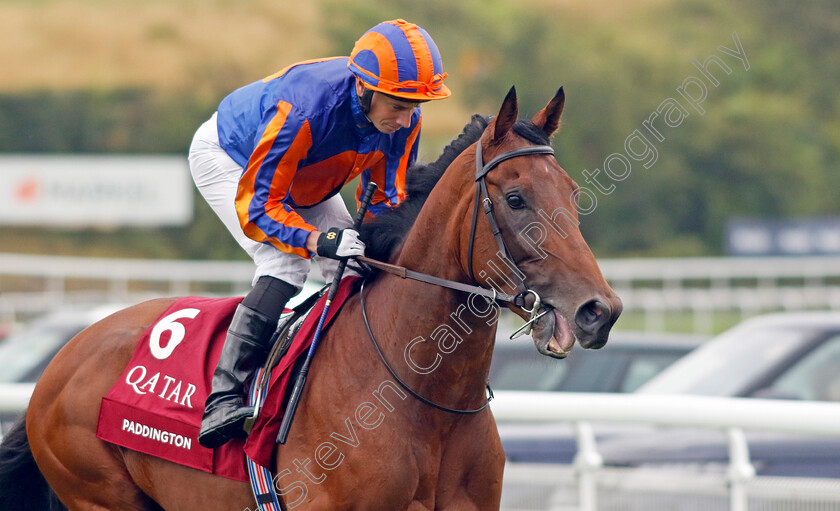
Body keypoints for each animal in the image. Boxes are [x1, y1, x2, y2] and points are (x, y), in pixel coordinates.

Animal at [1, 86, 616, 510]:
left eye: (573, 194)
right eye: (515, 199)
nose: (599, 311)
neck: (422, 398)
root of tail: (65, 357)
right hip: (99, 492)